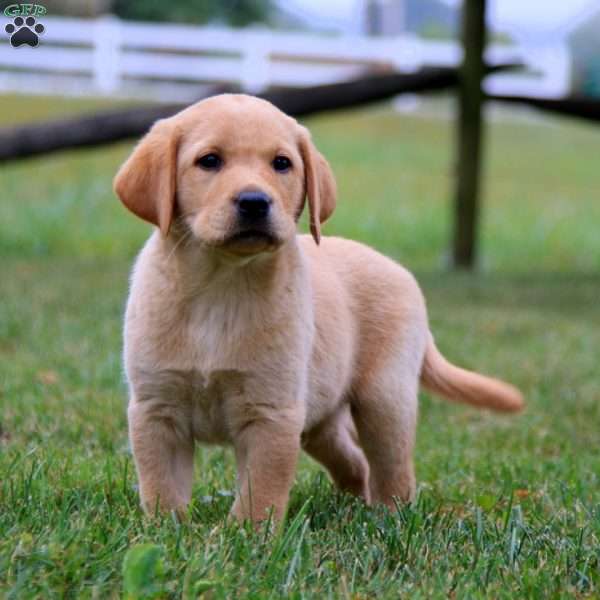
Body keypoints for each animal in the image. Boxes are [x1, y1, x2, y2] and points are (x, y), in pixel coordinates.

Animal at [115, 94, 524, 524]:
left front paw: (246, 534)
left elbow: (260, 493)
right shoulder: (156, 410)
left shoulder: (272, 414)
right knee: (354, 462)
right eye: (209, 161)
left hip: (384, 400)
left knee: (394, 472)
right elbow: (162, 487)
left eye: (282, 163)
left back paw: (387, 518)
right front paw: (166, 528)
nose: (255, 202)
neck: (221, 286)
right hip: (320, 418)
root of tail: (401, 273)